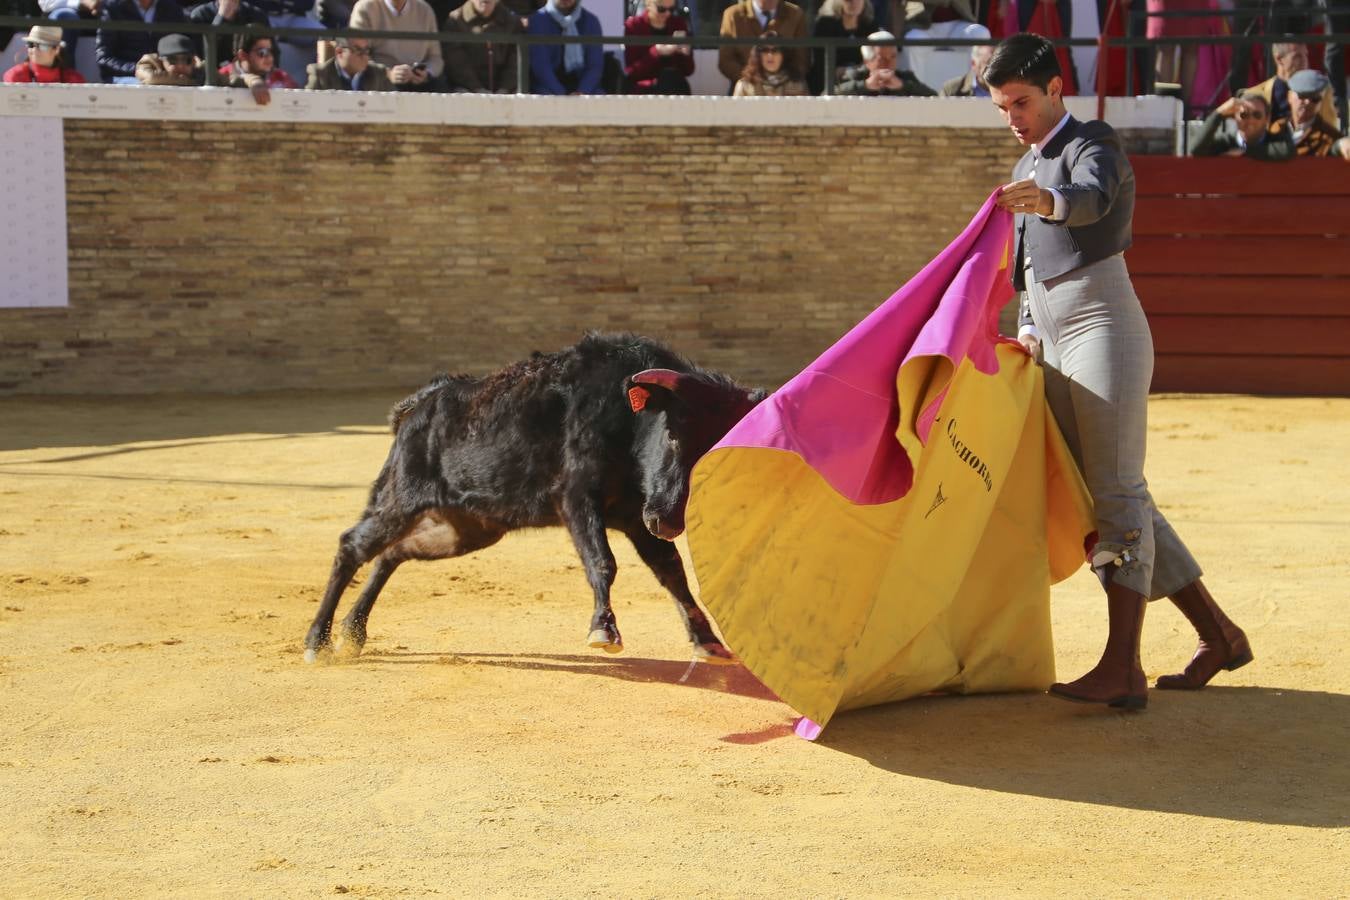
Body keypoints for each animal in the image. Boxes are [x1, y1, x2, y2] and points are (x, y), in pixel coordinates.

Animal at [307, 334, 772, 666]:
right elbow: (602, 561)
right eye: (674, 434)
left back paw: (353, 633)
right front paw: (603, 630)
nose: (669, 521)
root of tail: (416, 406)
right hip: (402, 500)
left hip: (466, 530)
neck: (626, 416)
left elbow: (672, 573)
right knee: (353, 546)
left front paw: (708, 642)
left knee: (392, 553)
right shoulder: (578, 499)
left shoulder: (635, 516)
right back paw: (317, 642)